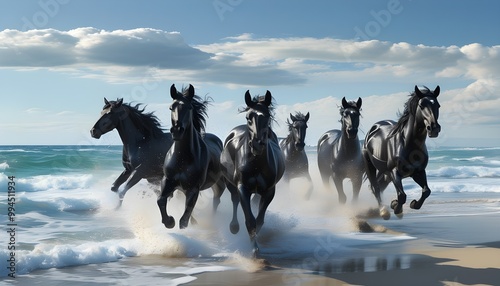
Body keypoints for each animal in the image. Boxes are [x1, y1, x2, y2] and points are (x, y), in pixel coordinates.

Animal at [157, 83, 237, 230]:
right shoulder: (168, 181)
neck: (182, 159)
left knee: (227, 198)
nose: (177, 130)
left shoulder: (193, 189)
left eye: (189, 107)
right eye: (171, 107)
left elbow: (184, 219)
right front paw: (169, 221)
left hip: (222, 183)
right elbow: (161, 200)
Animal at [220, 89, 284, 255]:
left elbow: (259, 220)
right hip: (229, 183)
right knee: (234, 199)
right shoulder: (243, 187)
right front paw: (254, 249)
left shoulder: (269, 191)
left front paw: (255, 242)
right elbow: (250, 219)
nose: (257, 144)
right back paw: (234, 227)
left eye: (267, 116)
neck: (256, 163)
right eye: (248, 117)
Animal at [364, 85, 442, 219]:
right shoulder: (395, 172)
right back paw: (383, 211)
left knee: (379, 185)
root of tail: (374, 127)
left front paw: (413, 204)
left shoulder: (418, 171)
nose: (434, 128)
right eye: (421, 105)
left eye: (438, 105)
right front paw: (396, 207)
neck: (408, 144)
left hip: (385, 173)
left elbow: (426, 191)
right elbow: (402, 195)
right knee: (375, 187)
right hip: (371, 166)